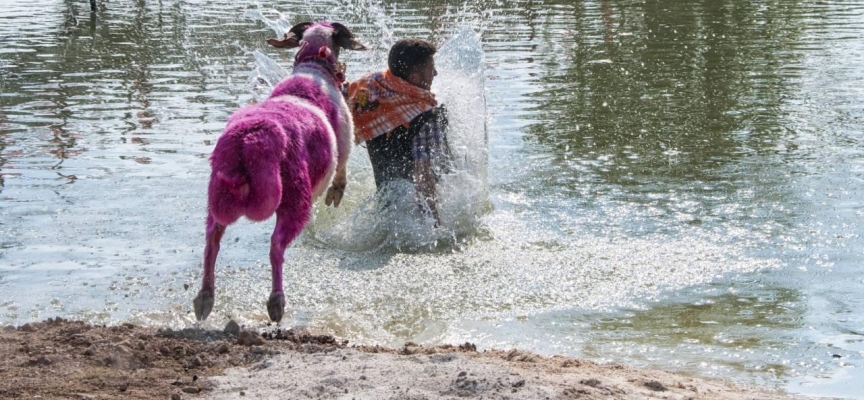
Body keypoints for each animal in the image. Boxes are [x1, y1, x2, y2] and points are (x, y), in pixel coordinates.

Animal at [194, 21, 366, 322]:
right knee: (276, 246)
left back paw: (204, 299)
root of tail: (248, 141)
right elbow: (342, 170)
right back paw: (276, 302)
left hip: (217, 197)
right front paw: (335, 193)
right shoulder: (346, 138)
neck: (314, 66)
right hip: (294, 199)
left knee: (212, 240)